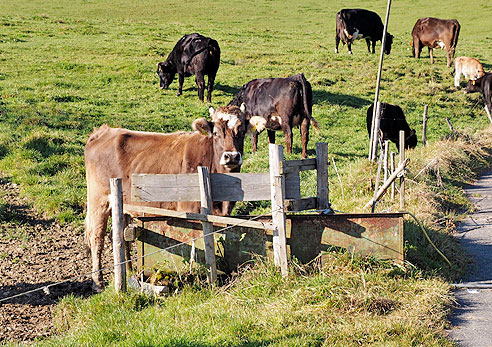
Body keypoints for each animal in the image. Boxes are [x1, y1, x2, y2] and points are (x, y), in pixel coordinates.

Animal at [84, 104, 250, 292]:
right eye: (215, 133)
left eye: (242, 131)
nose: (232, 156)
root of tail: (104, 131)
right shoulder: (190, 212)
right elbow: (194, 242)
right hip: (98, 200)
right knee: (96, 237)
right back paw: (98, 282)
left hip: (123, 204)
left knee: (120, 235)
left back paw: (129, 270)